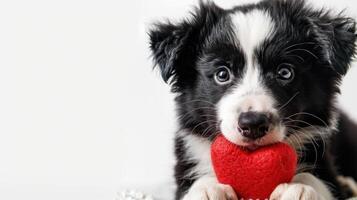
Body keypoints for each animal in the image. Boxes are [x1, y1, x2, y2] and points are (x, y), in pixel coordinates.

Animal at [148, 0, 356, 199]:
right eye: (222, 74)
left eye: (285, 72)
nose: (253, 124)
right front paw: (207, 189)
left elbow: (320, 181)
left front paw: (300, 188)